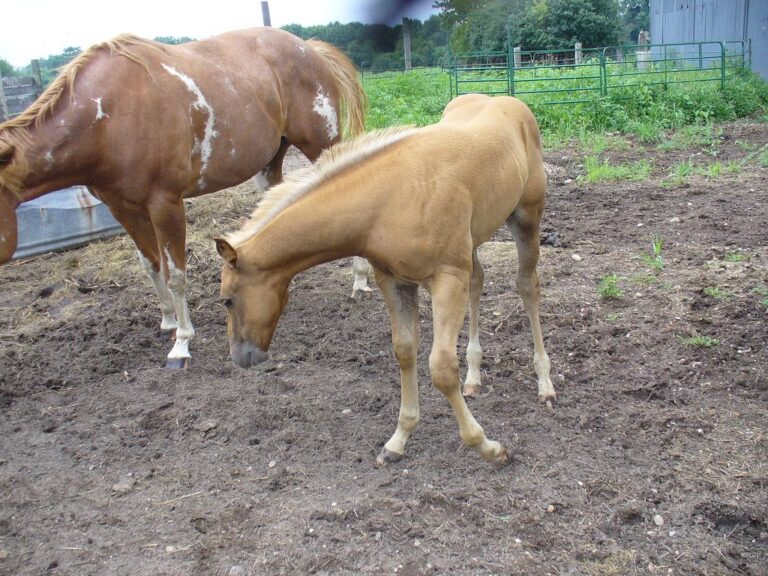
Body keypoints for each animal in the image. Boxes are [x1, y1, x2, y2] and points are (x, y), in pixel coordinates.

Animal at [0, 27, 368, 368]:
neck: (109, 116)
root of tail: (310, 48)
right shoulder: (123, 208)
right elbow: (150, 265)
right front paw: (167, 320)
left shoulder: (166, 203)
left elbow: (175, 272)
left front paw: (182, 342)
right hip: (271, 159)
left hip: (320, 143)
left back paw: (360, 278)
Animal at [215, 94, 557, 465]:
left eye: (227, 300)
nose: (240, 358)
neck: (388, 200)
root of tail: (507, 101)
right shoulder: (394, 281)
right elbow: (404, 351)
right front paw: (399, 439)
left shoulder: (448, 278)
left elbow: (441, 367)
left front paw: (487, 446)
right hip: (474, 238)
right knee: (478, 281)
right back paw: (474, 377)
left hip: (526, 217)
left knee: (527, 286)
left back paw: (545, 383)